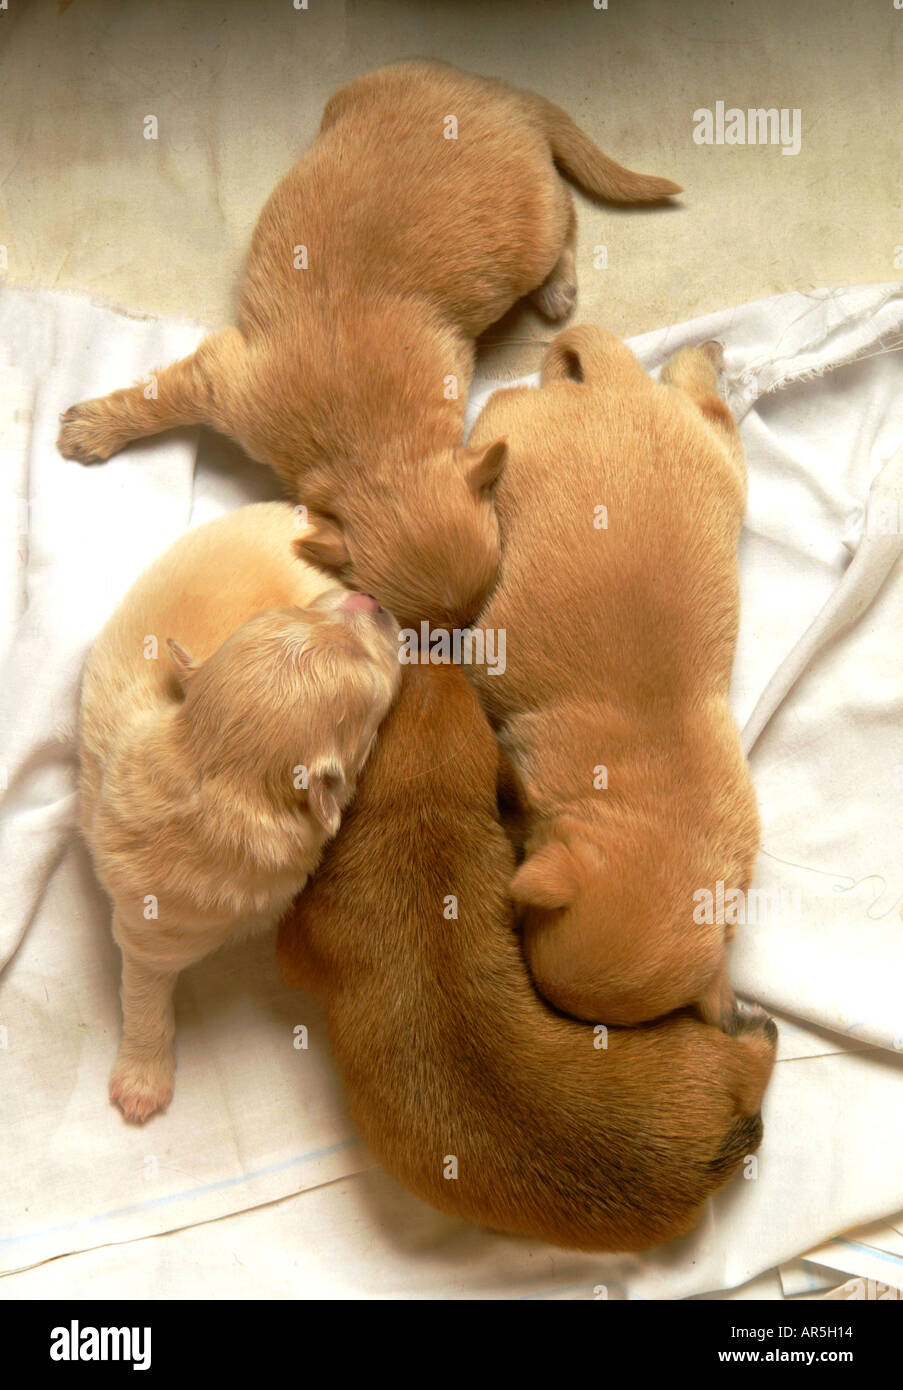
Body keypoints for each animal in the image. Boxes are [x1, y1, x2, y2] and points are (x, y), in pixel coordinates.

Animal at [56, 59, 675, 625]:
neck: (375, 452)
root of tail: (509, 96)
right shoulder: (228, 384)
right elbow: (160, 398)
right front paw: (95, 430)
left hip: (532, 226)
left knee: (568, 216)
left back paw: (557, 285)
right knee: (567, 212)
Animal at [75, 505, 400, 1123]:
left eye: (298, 610)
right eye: (370, 665)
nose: (371, 600)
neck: (217, 776)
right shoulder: (150, 924)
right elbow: (145, 990)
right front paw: (142, 1079)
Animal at [466, 325, 755, 1034]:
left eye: (525, 922)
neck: (647, 808)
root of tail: (618, 388)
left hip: (711, 460)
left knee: (705, 404)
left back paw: (702, 358)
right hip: (517, 428)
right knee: (708, 407)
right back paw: (703, 358)